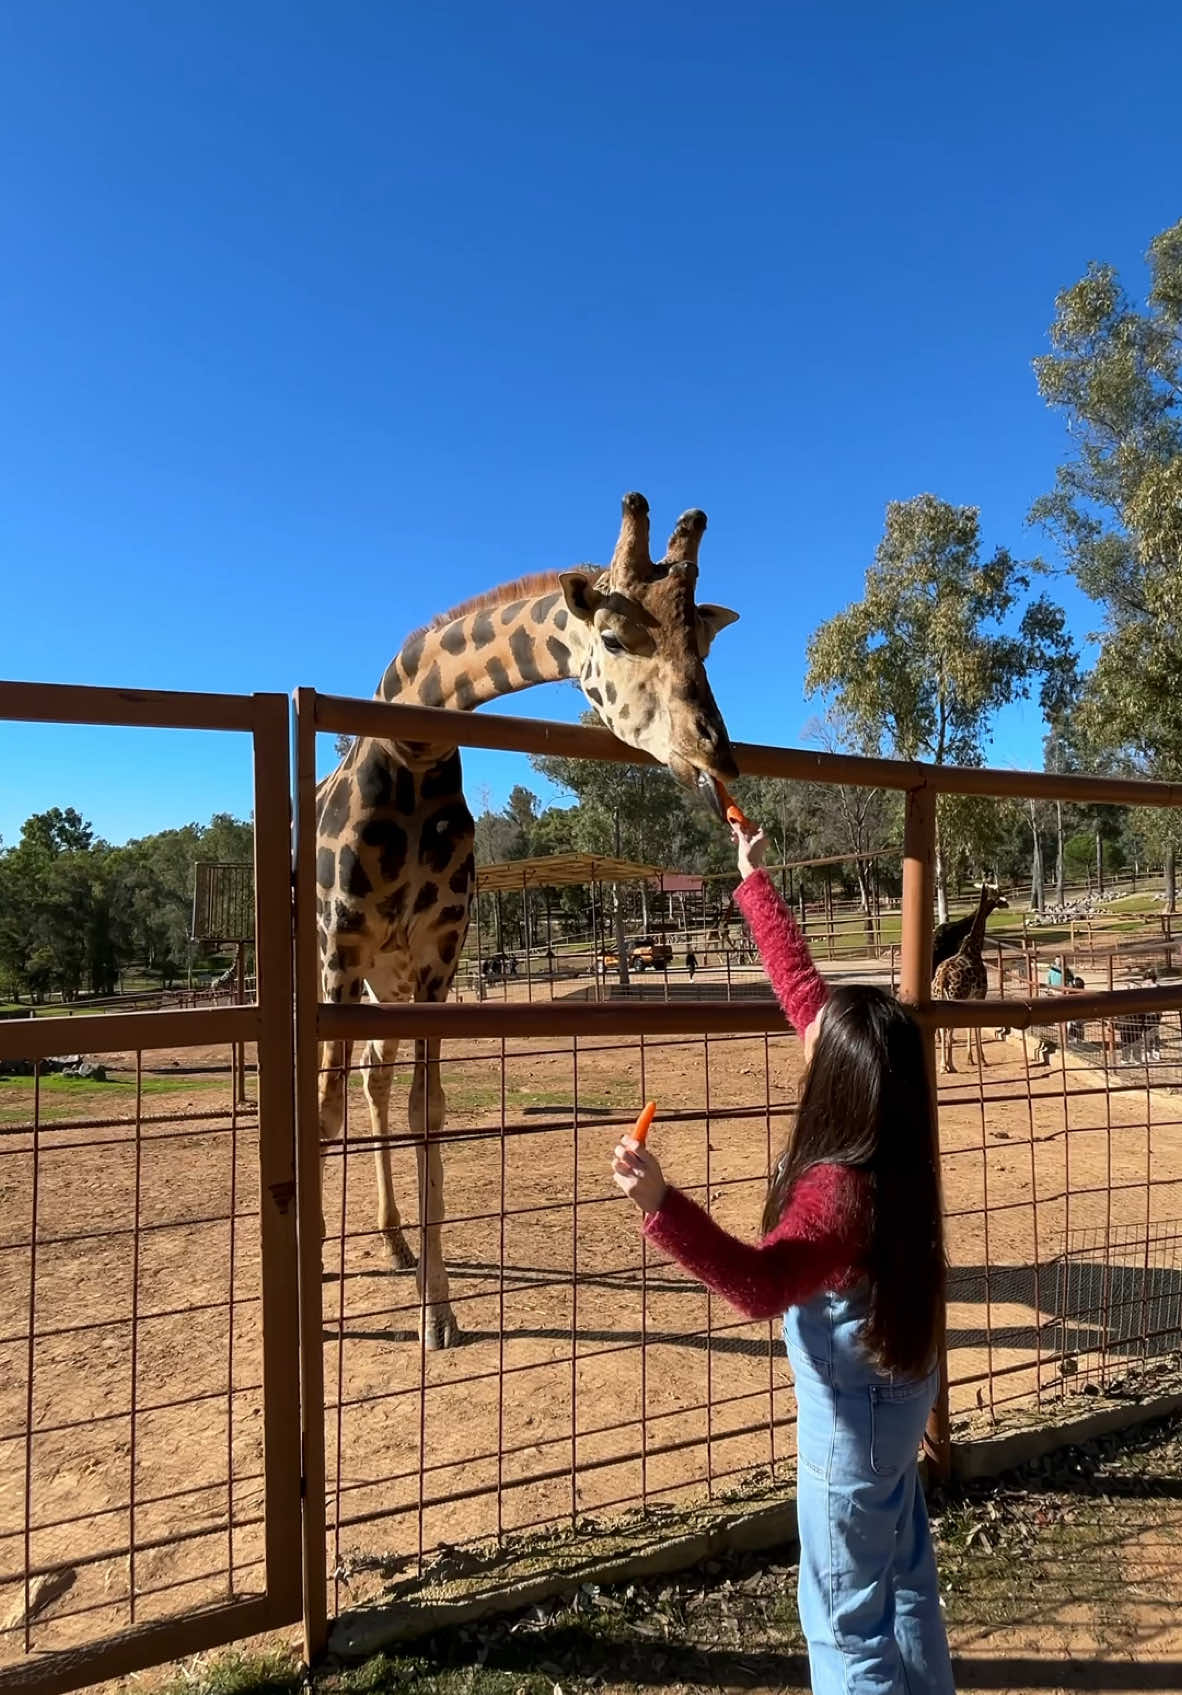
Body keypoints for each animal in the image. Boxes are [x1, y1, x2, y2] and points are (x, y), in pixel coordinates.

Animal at [313, 494, 739, 1349]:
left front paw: (438, 1312)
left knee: (376, 1078)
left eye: (704, 640)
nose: (718, 754)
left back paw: (396, 1242)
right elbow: (323, 1105)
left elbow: (427, 1108)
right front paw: (317, 1293)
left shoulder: (437, 960)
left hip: (388, 978)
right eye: (614, 636)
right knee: (342, 1087)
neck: (415, 746)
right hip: (340, 963)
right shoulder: (340, 946)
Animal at [929, 888, 997, 1071]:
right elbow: (975, 1025)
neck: (973, 948)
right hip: (954, 997)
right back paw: (949, 1065)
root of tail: (943, 978)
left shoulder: (971, 998)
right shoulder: (980, 995)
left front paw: (971, 1058)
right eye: (996, 894)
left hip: (941, 996)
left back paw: (943, 1064)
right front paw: (981, 1059)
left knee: (944, 1026)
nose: (1005, 902)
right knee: (949, 1027)